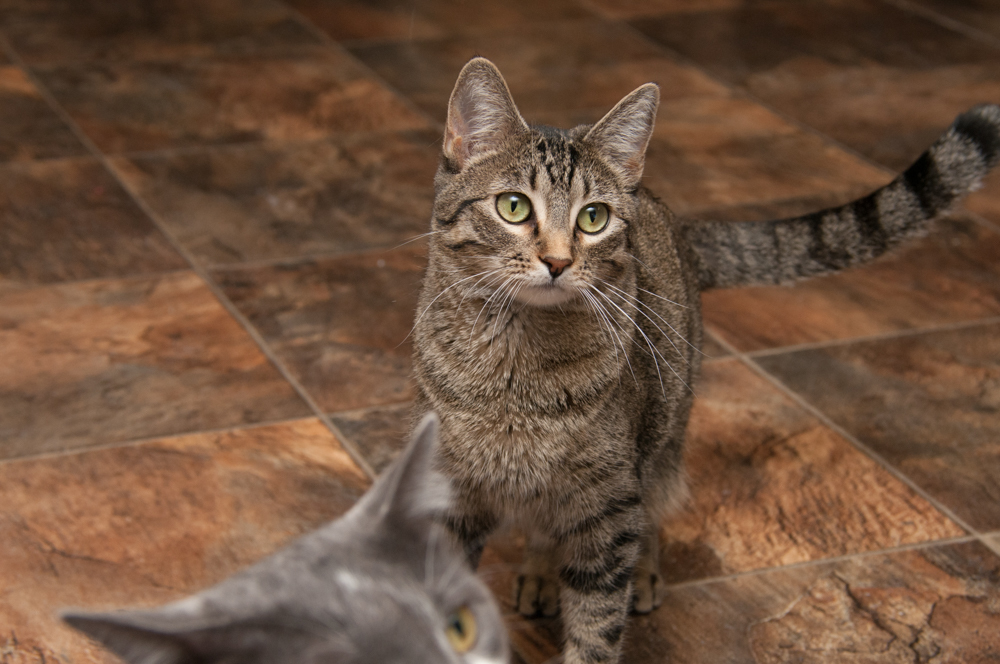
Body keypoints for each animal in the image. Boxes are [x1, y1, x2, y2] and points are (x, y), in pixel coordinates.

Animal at [408, 55, 1000, 664]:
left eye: (593, 218)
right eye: (514, 207)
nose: (557, 261)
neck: (517, 368)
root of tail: (675, 221)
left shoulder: (608, 502)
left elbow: (596, 623)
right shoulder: (450, 492)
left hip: (663, 436)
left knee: (648, 505)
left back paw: (638, 570)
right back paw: (541, 570)